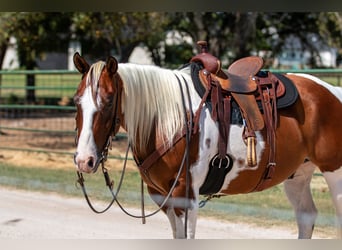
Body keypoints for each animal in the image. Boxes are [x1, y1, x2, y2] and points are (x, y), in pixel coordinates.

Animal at [73, 49, 342, 239]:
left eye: (109, 100)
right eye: (77, 100)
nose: (84, 160)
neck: (169, 119)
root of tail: (332, 91)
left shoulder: (186, 195)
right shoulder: (163, 197)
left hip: (334, 172)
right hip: (298, 175)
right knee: (306, 217)